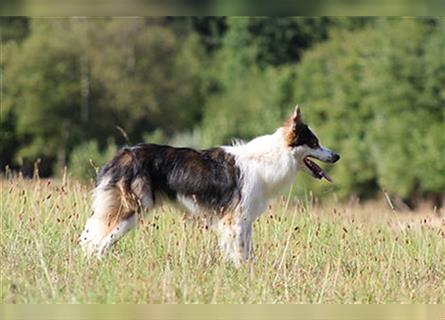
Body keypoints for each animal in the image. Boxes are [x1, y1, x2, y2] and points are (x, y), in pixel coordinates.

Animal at [80, 105, 338, 264]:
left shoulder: (243, 220)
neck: (270, 158)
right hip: (130, 210)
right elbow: (241, 253)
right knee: (97, 242)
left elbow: (246, 251)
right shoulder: (235, 220)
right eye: (314, 143)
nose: (336, 155)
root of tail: (121, 156)